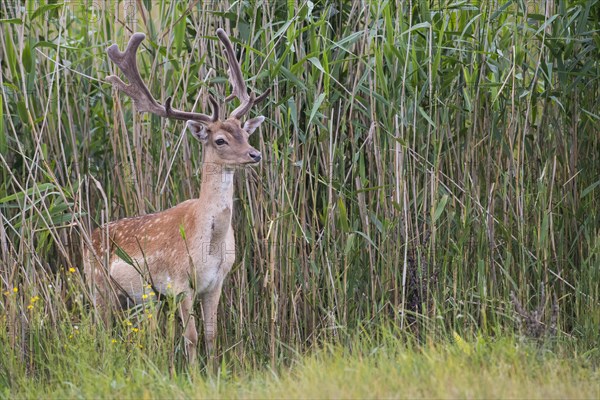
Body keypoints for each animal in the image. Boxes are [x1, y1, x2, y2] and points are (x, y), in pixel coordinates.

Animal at [82, 29, 270, 364]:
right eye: (219, 140)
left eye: (245, 132)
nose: (255, 154)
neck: (210, 243)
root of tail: (88, 237)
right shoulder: (180, 283)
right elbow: (191, 337)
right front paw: (194, 373)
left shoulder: (216, 283)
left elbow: (211, 335)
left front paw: (214, 371)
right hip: (100, 287)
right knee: (100, 330)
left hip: (136, 298)